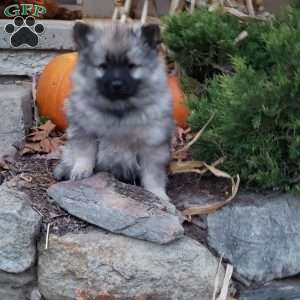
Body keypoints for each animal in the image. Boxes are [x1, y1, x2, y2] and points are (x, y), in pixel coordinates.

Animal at [54, 21, 173, 204]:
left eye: (131, 66)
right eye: (103, 66)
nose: (116, 84)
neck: (118, 109)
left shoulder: (152, 147)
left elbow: (153, 175)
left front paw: (159, 195)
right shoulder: (85, 131)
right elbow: (85, 153)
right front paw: (81, 171)